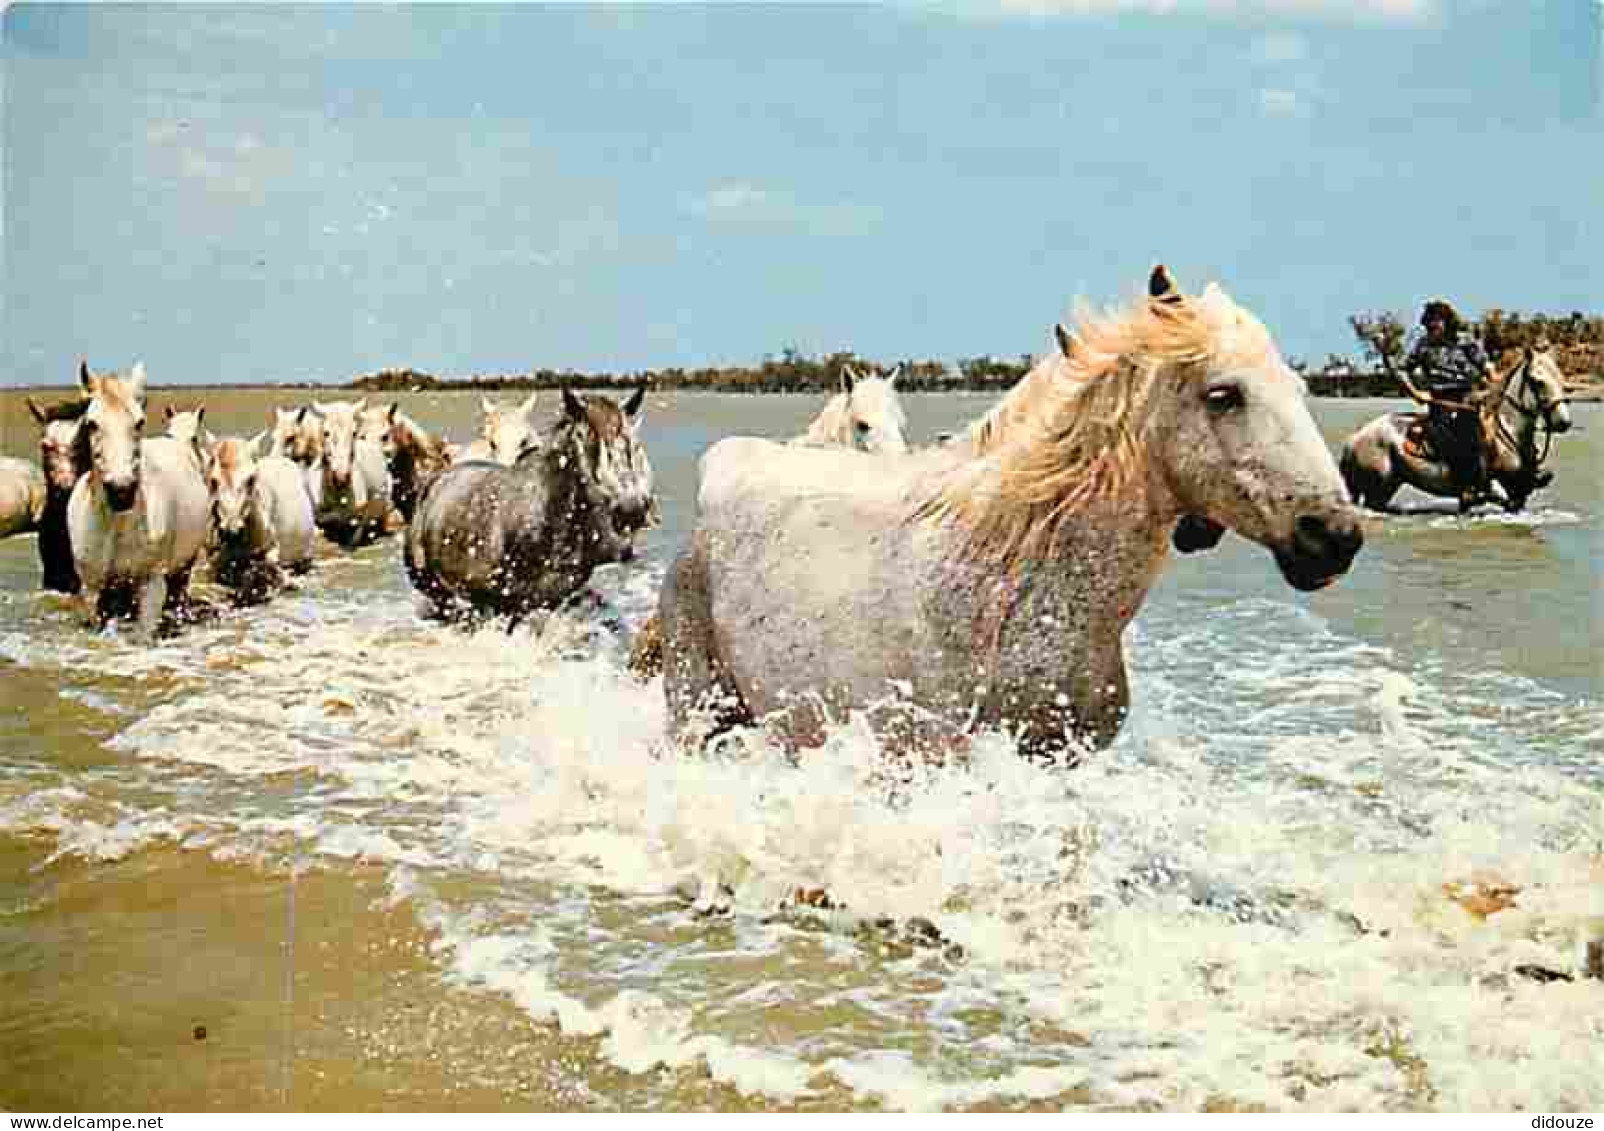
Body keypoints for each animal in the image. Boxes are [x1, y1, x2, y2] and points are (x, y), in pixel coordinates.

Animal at [66, 359, 211, 632]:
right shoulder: (92, 590)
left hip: (183, 566)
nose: (121, 491)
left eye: (140, 422)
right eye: (91, 423)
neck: (116, 525)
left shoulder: (151, 586)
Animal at [407, 383, 657, 622]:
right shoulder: (506, 603)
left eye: (633, 443)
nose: (632, 508)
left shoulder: (553, 599)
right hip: (432, 585)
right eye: (585, 439)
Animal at [1334, 346, 1571, 513]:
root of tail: (1353, 440)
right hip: (1376, 489)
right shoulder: (1500, 488)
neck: (1510, 434)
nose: (1563, 422)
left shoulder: (1519, 493)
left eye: (1562, 380)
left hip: (1387, 487)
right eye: (1537, 381)